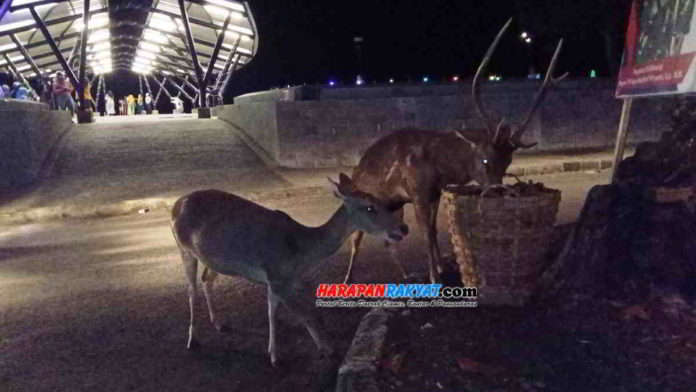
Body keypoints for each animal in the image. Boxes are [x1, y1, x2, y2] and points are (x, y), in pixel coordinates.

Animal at [170, 173, 408, 366]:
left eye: (380, 201)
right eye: (369, 207)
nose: (403, 228)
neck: (300, 252)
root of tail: (175, 205)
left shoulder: (276, 279)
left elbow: (272, 313)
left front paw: (273, 354)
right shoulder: (278, 276)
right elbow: (305, 314)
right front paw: (328, 350)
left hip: (216, 259)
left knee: (206, 278)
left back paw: (219, 323)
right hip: (184, 247)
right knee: (191, 290)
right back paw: (193, 339)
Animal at [342, 17, 564, 284]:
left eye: (507, 163)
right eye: (485, 160)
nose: (496, 192)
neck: (440, 167)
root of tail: (355, 171)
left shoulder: (435, 193)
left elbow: (435, 228)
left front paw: (440, 267)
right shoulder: (417, 192)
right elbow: (426, 232)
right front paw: (434, 277)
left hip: (393, 206)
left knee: (388, 240)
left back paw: (404, 274)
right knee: (356, 237)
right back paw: (347, 278)